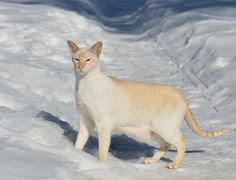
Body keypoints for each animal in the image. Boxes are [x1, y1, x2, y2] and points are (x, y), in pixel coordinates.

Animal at [66, 40, 227, 169]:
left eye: (88, 60)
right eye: (76, 59)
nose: (80, 67)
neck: (84, 84)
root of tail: (180, 94)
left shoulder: (103, 125)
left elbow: (103, 151)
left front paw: (102, 165)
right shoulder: (85, 122)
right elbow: (79, 144)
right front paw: (75, 154)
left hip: (164, 128)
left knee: (181, 141)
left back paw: (174, 165)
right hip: (153, 131)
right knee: (167, 144)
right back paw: (151, 161)